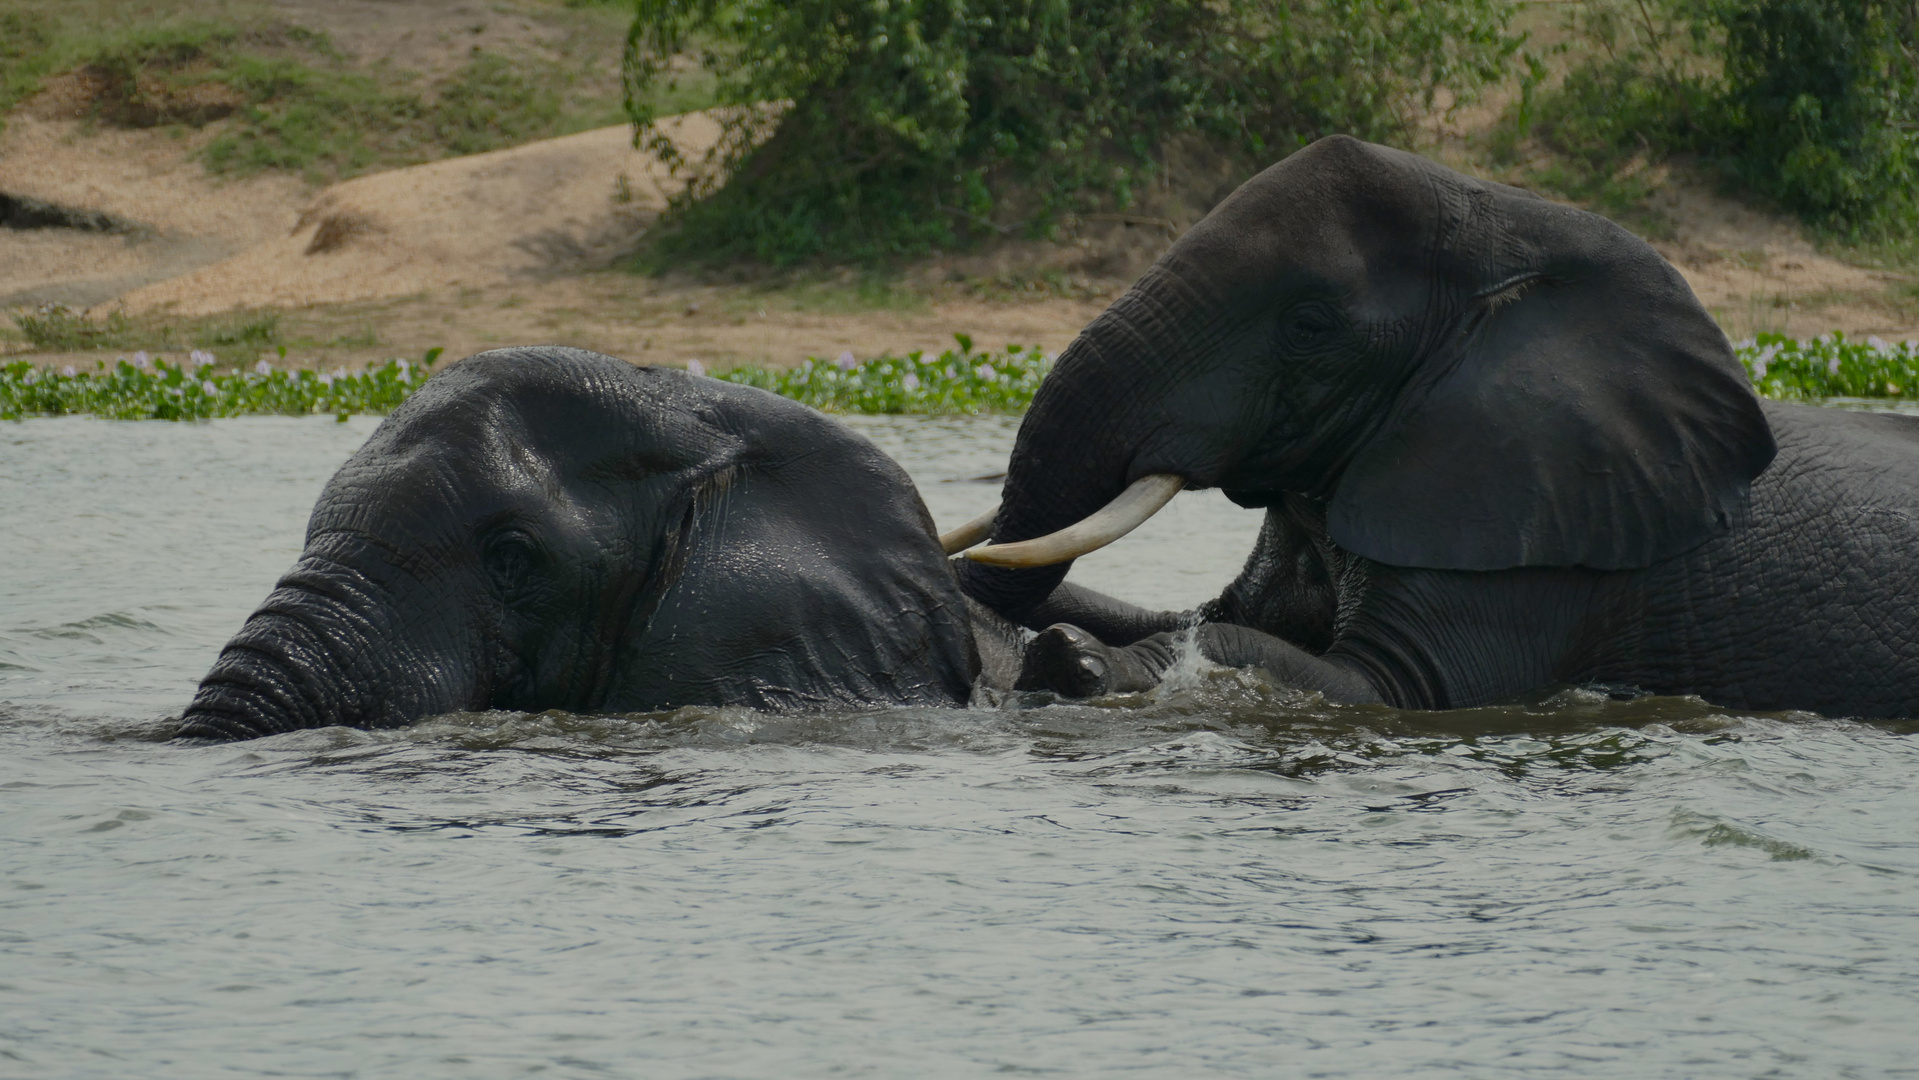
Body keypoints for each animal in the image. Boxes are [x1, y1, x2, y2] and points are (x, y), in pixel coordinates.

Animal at [959, 139, 1919, 721]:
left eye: (1308, 326)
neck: (1511, 225)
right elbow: (1211, 614)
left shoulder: (1540, 542)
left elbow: (1377, 685)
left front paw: (1078, 664)